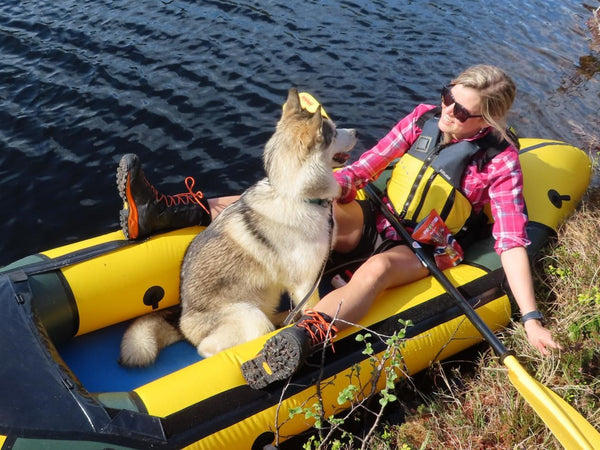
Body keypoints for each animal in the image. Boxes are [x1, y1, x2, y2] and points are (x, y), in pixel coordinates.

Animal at [119, 88, 358, 366]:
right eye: (333, 131)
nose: (356, 132)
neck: (293, 195)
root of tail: (182, 323)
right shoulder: (306, 283)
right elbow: (313, 308)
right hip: (252, 319)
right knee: (210, 349)